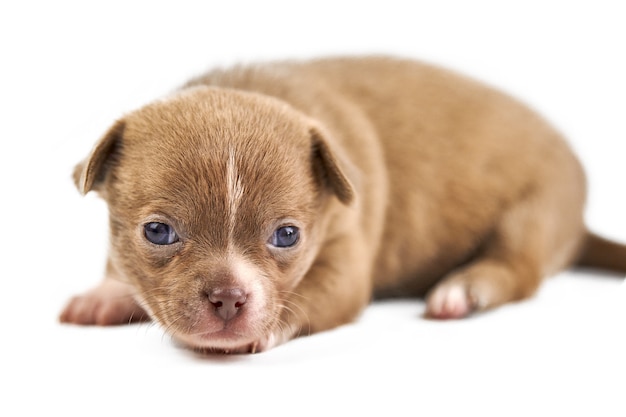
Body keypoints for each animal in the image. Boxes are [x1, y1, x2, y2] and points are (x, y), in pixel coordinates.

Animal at [58, 55, 624, 352]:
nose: (229, 299)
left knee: (517, 265)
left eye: (286, 235)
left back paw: (463, 289)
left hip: (536, 212)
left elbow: (311, 296)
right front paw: (107, 294)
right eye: (158, 232)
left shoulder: (346, 262)